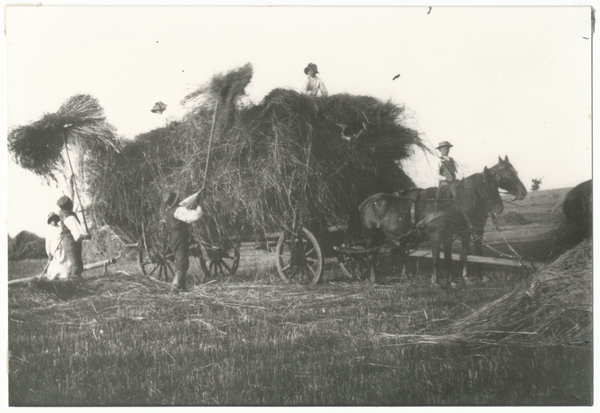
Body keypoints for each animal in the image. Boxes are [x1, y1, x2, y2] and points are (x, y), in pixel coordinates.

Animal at [358, 156, 528, 284]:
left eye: (515, 172)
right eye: (506, 175)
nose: (524, 192)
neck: (453, 202)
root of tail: (366, 201)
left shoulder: (454, 233)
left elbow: (451, 257)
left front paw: (453, 280)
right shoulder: (438, 234)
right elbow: (436, 258)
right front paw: (436, 281)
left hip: (383, 235)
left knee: (392, 252)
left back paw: (402, 275)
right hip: (370, 234)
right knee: (370, 254)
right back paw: (374, 279)